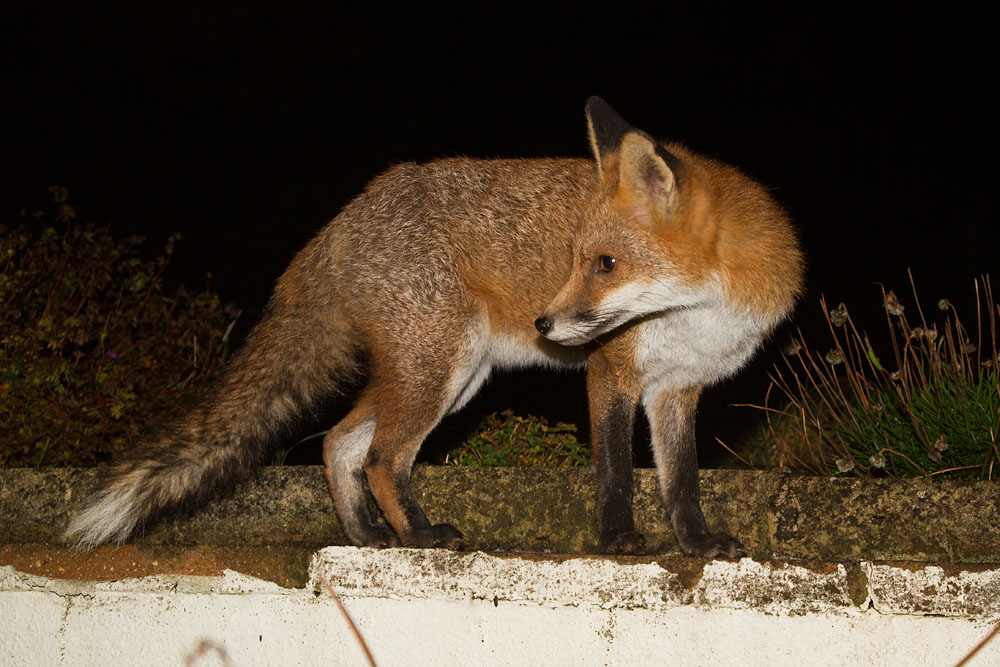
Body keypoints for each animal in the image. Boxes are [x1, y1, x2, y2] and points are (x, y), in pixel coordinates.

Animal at [65, 97, 802, 558]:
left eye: (605, 264)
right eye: (578, 260)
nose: (544, 321)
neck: (699, 317)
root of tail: (342, 219)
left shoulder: (678, 389)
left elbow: (682, 484)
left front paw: (698, 545)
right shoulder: (611, 372)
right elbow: (617, 473)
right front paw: (619, 539)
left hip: (448, 374)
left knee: (338, 442)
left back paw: (367, 538)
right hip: (440, 368)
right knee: (381, 457)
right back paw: (418, 537)